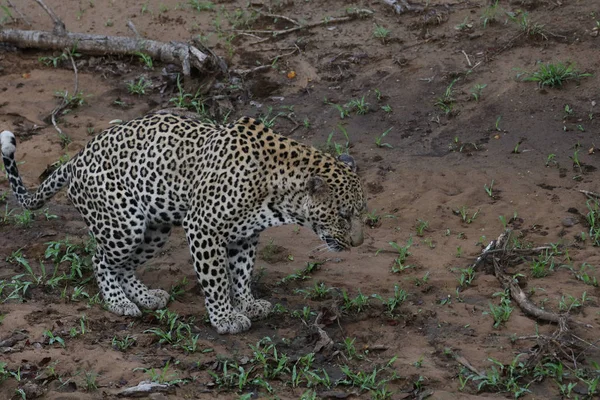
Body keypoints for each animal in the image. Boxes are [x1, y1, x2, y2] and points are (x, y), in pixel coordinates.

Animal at [0, 111, 368, 332]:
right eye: (344, 215)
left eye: (362, 211)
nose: (359, 243)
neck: (278, 190)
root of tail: (75, 159)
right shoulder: (204, 228)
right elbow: (217, 279)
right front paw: (225, 317)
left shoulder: (245, 236)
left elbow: (242, 273)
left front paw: (248, 304)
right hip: (124, 225)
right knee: (100, 260)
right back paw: (119, 302)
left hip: (155, 229)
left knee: (124, 265)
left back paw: (145, 296)